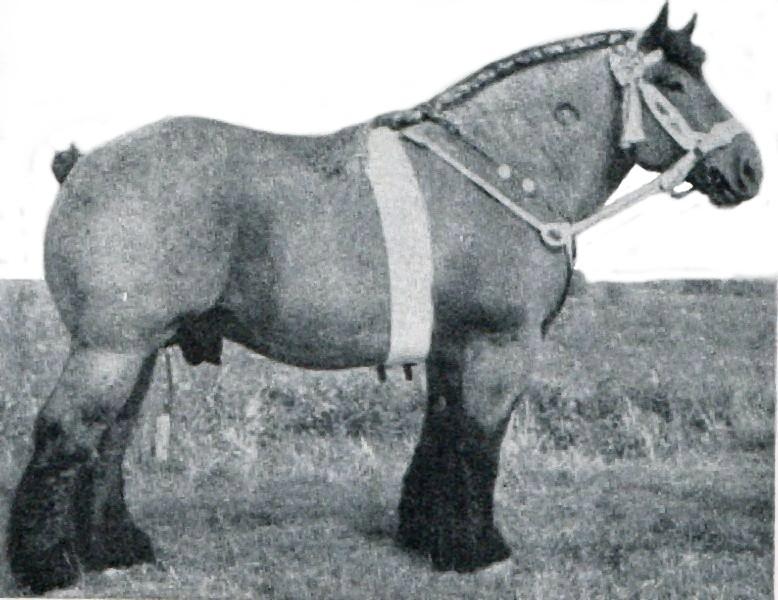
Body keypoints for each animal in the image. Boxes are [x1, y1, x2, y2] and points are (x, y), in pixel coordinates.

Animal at [7, 5, 762, 593]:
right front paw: (479, 550)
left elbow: (443, 435)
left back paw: (116, 550)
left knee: (108, 440)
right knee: (64, 434)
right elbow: (479, 442)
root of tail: (83, 162)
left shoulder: (452, 349)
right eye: (672, 81)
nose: (748, 167)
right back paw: (48, 567)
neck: (502, 169)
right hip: (110, 350)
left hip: (135, 352)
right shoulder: (499, 346)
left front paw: (428, 535)